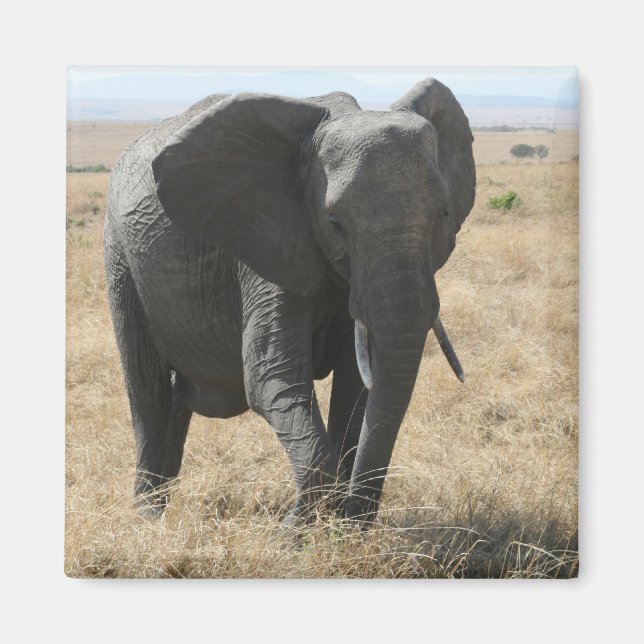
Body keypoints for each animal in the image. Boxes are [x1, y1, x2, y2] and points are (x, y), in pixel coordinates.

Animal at [103, 76, 475, 525]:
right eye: (335, 224)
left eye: (444, 214)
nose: (353, 518)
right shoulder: (264, 246)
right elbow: (270, 377)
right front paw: (295, 533)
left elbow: (356, 386)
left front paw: (337, 527)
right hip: (121, 257)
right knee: (148, 392)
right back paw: (149, 519)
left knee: (173, 398)